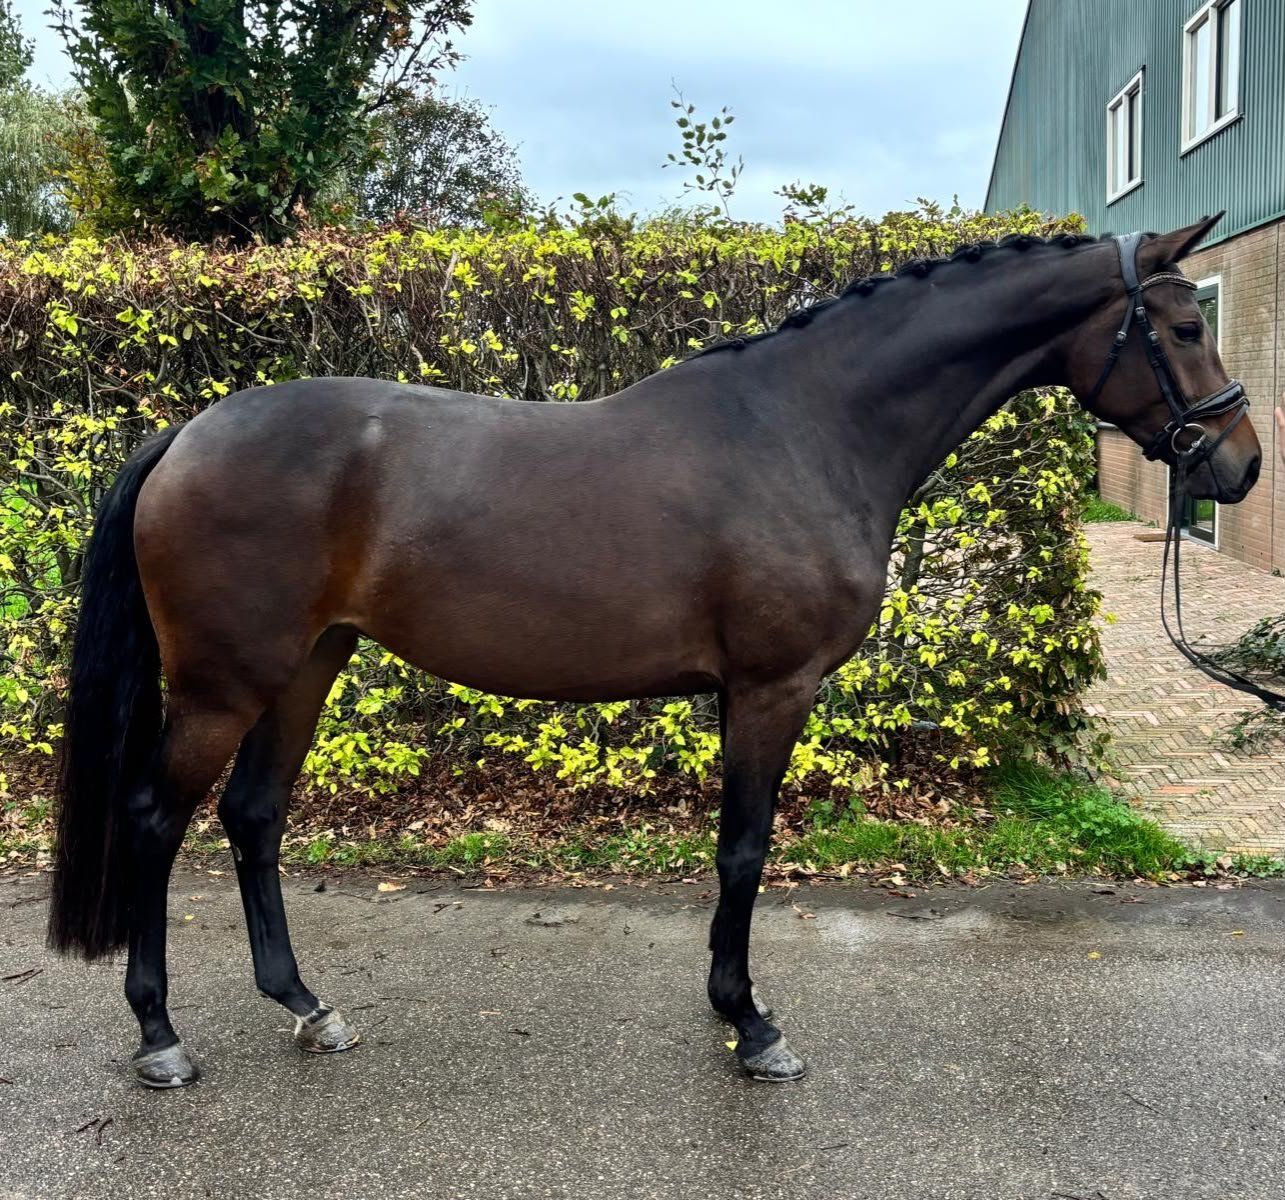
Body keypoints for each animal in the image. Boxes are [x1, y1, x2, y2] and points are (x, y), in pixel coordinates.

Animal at [47, 214, 1261, 1088]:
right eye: (1182, 330)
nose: (1239, 463)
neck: (807, 429)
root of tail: (186, 435)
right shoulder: (770, 690)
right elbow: (745, 852)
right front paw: (752, 1026)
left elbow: (736, 851)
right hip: (225, 683)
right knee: (154, 820)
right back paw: (159, 1037)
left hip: (308, 665)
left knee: (253, 816)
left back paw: (307, 1008)